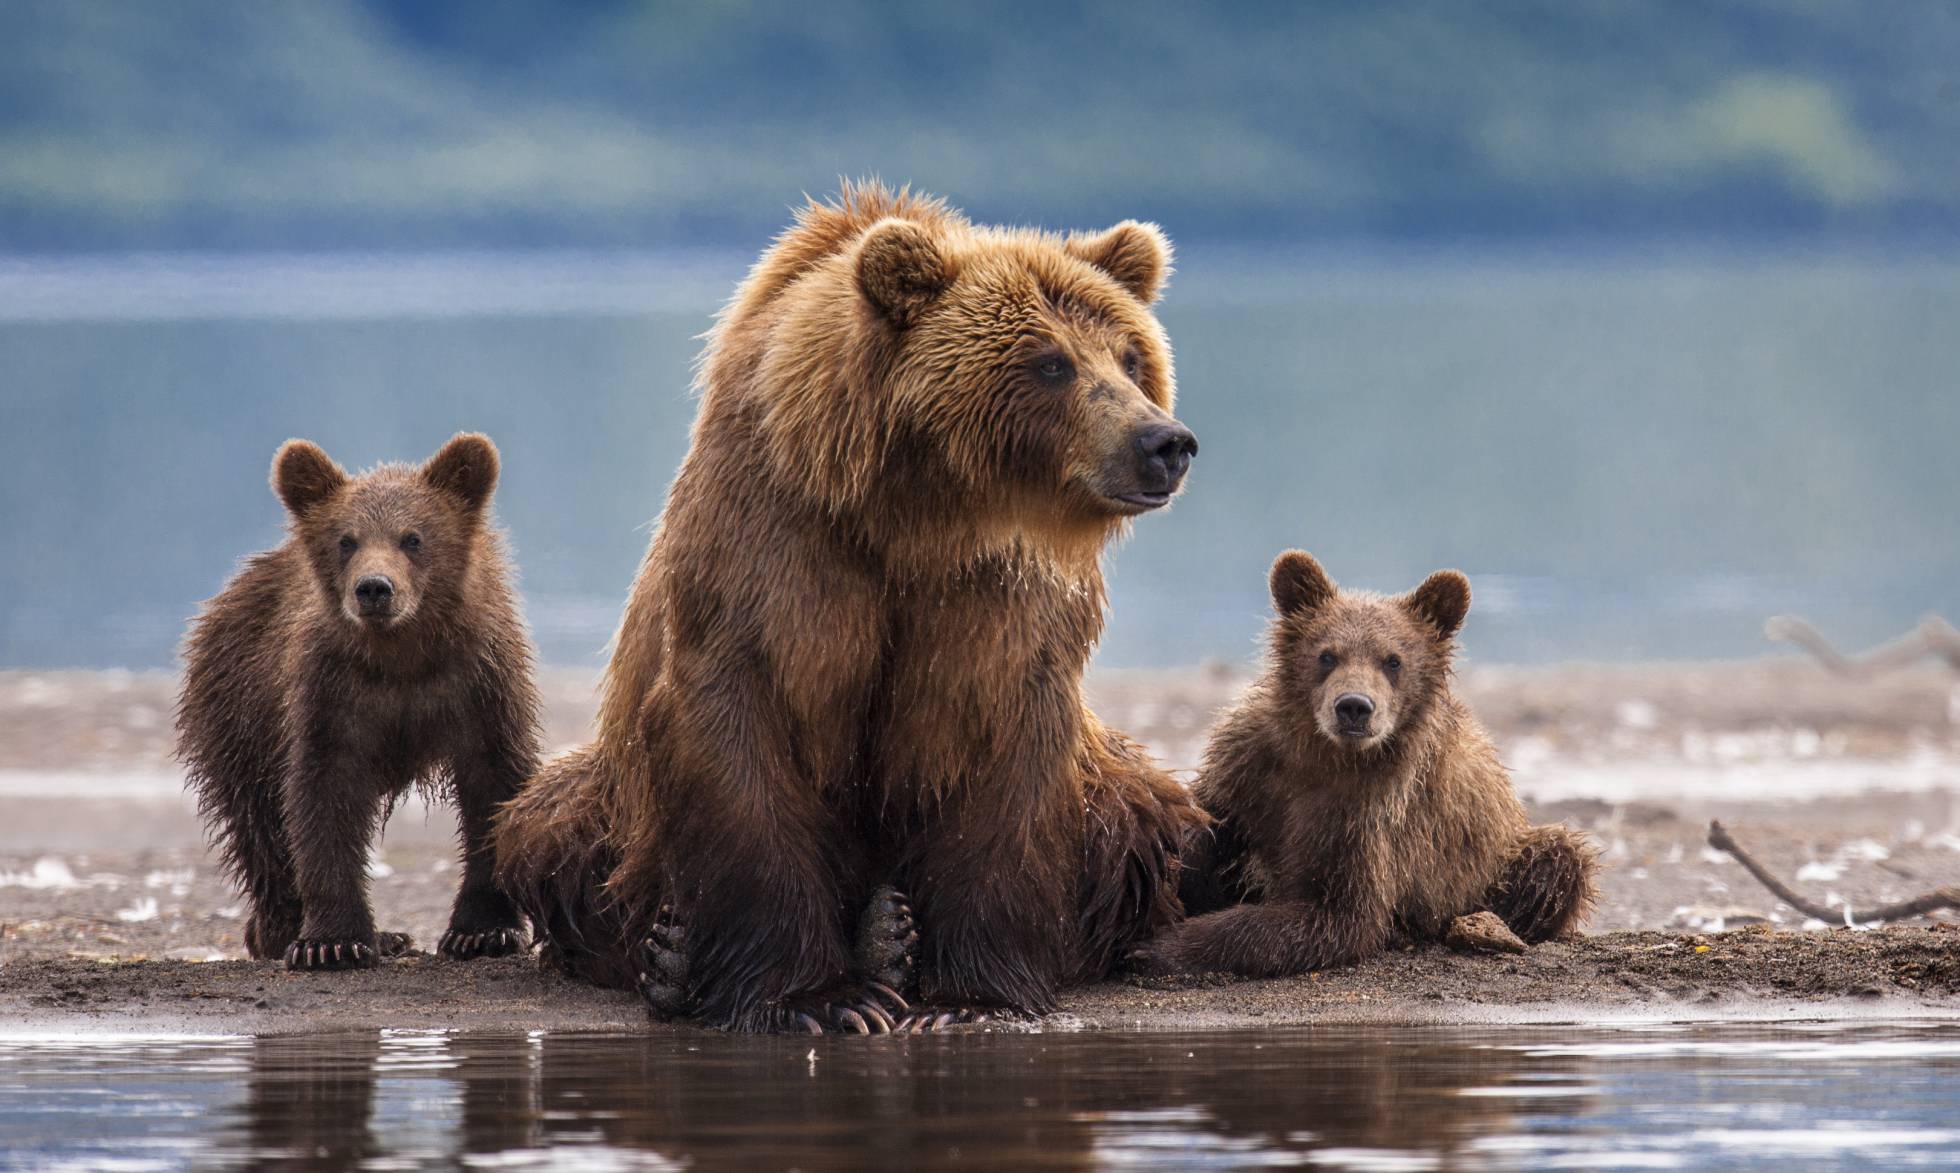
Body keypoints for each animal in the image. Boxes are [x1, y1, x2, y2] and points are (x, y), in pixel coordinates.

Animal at [176, 433, 541, 970]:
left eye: (413, 538)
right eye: (346, 540)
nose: (374, 588)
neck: (402, 655)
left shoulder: (480, 682)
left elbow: (492, 782)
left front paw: (483, 931)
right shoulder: (331, 693)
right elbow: (324, 796)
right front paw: (332, 941)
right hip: (237, 711)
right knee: (261, 826)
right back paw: (283, 930)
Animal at [494, 182, 1206, 1033]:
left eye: (1131, 356)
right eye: (1050, 361)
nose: (1163, 441)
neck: (917, 510)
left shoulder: (999, 597)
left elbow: (1008, 760)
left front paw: (968, 1001)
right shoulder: (774, 543)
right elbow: (740, 736)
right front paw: (819, 999)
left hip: (1113, 788)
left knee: (1145, 810)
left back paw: (889, 933)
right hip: (613, 800)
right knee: (547, 826)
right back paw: (671, 958)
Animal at [1134, 550, 1596, 977]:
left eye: (1393, 660)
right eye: (1327, 655)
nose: (1354, 706)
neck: (1324, 755)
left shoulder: (1368, 815)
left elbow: (1339, 915)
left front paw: (1160, 947)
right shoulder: (1249, 768)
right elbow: (1202, 827)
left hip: (1500, 858)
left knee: (1559, 858)